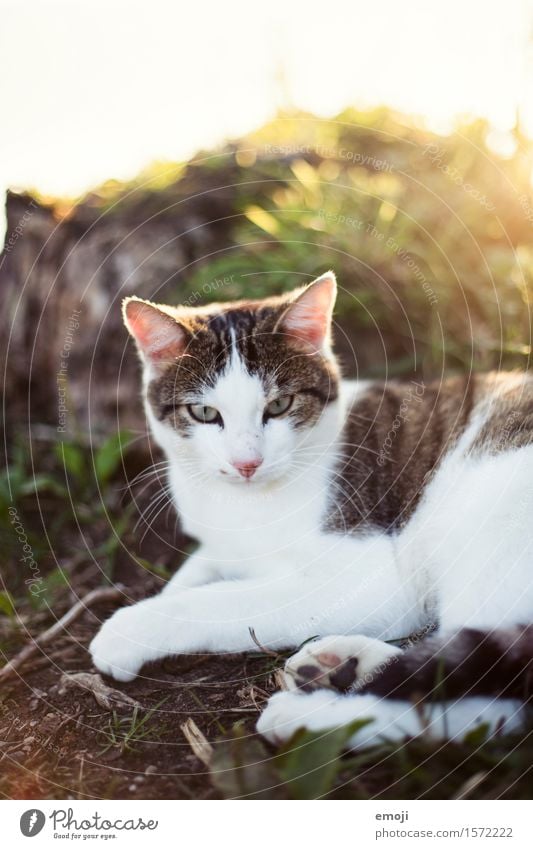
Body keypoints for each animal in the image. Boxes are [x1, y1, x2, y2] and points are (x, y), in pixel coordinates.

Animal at [90, 274, 532, 744]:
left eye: (279, 406)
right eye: (205, 412)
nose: (247, 463)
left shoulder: (375, 578)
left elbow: (224, 599)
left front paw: (132, 628)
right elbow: (197, 571)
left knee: (492, 702)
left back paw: (306, 720)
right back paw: (342, 666)